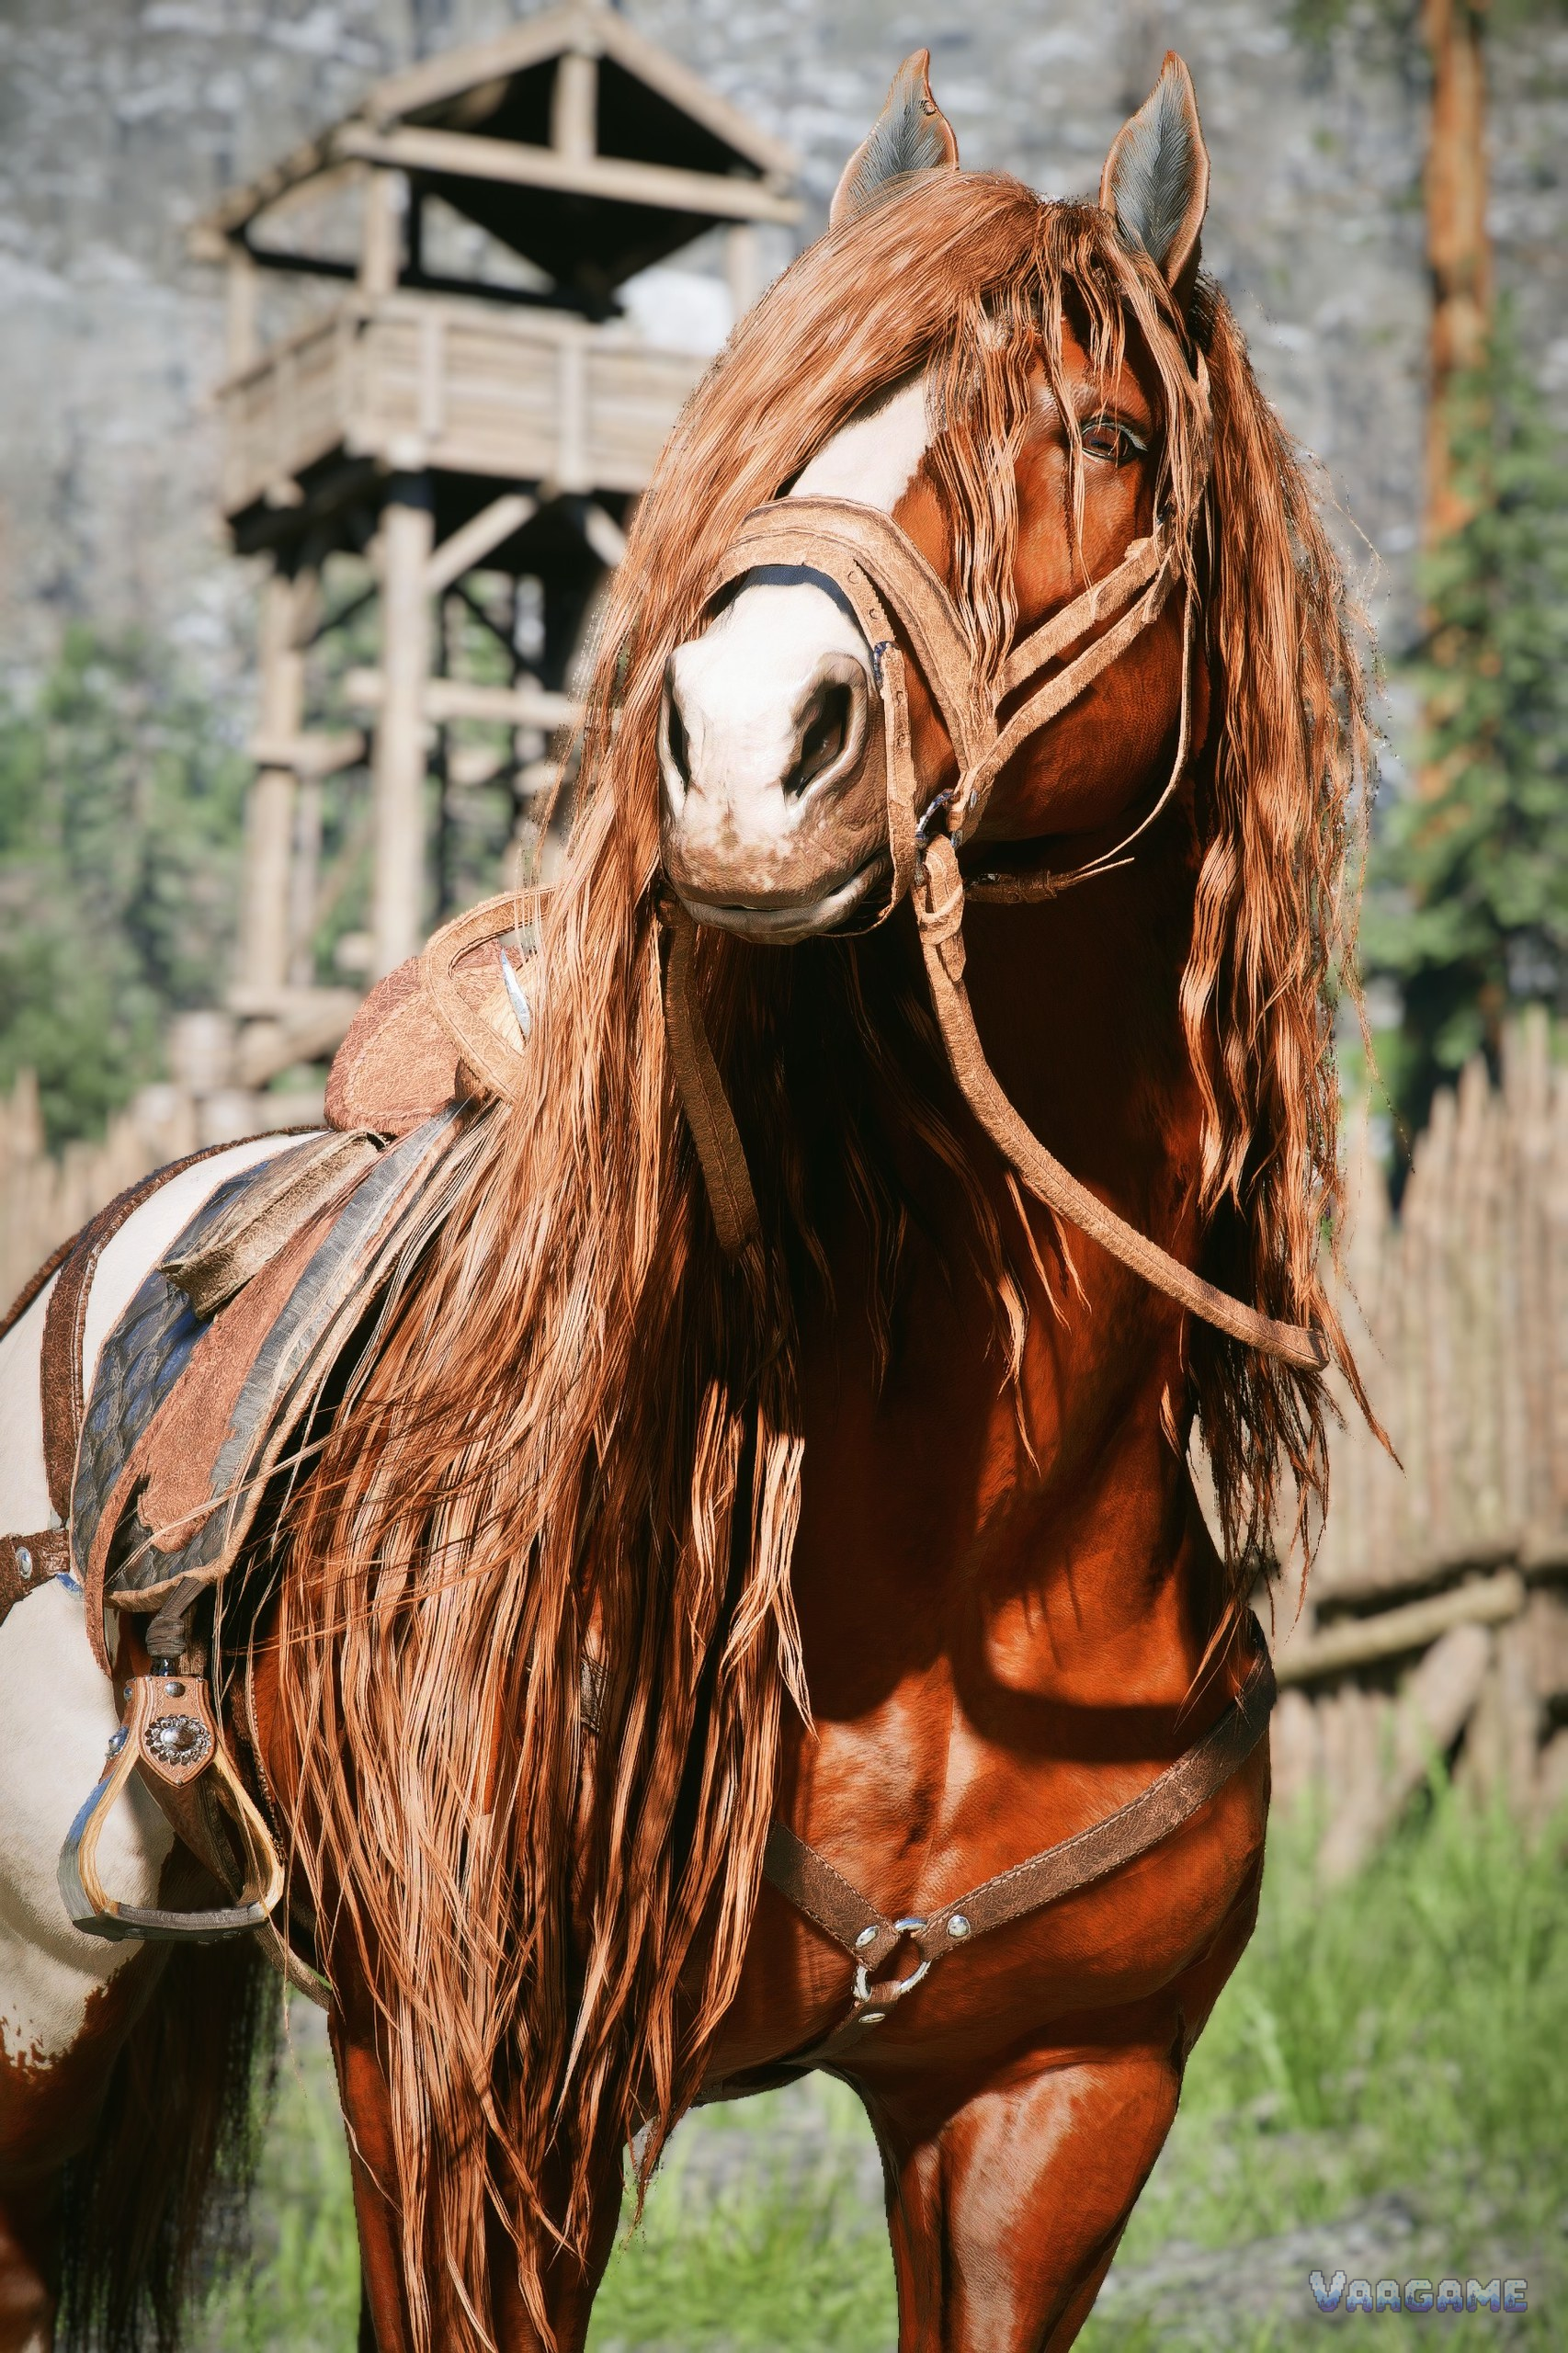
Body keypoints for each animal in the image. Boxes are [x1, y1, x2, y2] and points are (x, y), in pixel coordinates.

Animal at [0, 47, 1370, 2353]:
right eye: (774, 423)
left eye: (1103, 433)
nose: (738, 743)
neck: (957, 1553)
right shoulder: (470, 2106)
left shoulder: (1054, 2106)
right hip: (44, 1978)